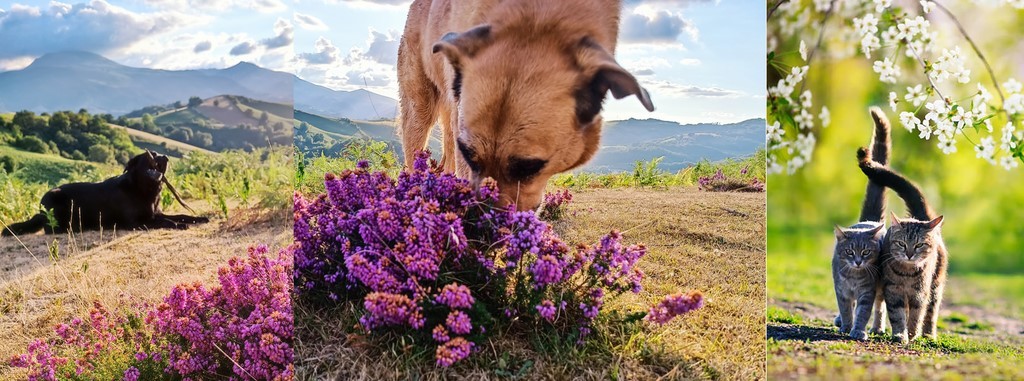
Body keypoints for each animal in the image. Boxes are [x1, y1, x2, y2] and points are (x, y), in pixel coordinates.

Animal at [2, 150, 209, 235]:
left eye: (159, 154)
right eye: (152, 155)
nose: (165, 157)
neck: (142, 189)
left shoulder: (155, 214)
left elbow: (182, 214)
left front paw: (199, 218)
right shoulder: (134, 223)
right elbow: (167, 221)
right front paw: (177, 225)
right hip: (57, 198)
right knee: (50, 228)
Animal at [851, 147, 946, 344]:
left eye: (919, 245)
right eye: (902, 244)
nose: (909, 254)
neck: (907, 275)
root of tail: (920, 217)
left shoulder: (920, 294)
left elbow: (916, 316)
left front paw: (912, 334)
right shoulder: (893, 291)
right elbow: (897, 315)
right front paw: (900, 335)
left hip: (936, 285)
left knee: (931, 312)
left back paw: (928, 335)